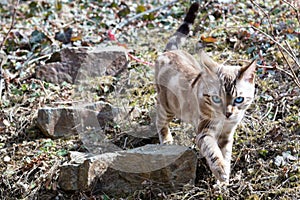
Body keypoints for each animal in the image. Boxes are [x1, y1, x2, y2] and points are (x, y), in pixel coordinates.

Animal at [155, 2, 255, 183]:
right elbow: (213, 152)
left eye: (239, 99)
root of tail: (169, 52)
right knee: (159, 120)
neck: (223, 122)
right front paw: (220, 171)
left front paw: (223, 182)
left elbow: (226, 155)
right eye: (216, 98)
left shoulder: (227, 135)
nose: (228, 113)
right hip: (167, 105)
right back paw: (166, 140)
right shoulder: (204, 131)